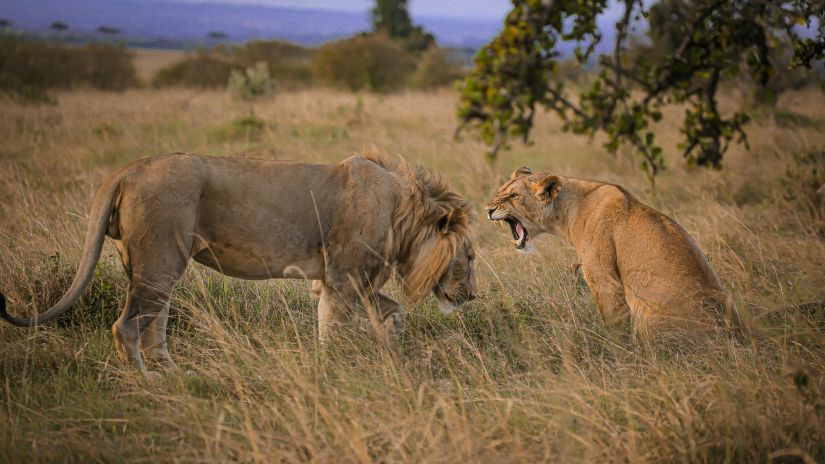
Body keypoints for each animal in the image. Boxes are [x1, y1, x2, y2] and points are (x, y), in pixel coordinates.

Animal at [0, 152, 476, 374]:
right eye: (470, 257)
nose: (471, 297)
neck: (402, 213)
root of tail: (130, 169)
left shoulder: (342, 280)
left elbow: (390, 313)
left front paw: (390, 349)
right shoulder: (344, 277)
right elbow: (332, 326)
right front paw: (332, 366)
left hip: (152, 266)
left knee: (154, 324)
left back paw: (175, 375)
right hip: (161, 258)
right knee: (127, 326)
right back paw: (147, 382)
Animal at [486, 166, 744, 338]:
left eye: (513, 196)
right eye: (500, 192)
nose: (487, 209)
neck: (567, 212)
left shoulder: (605, 281)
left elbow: (613, 323)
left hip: (648, 314)